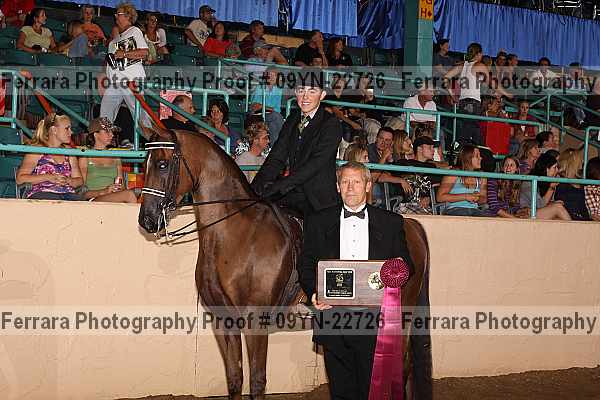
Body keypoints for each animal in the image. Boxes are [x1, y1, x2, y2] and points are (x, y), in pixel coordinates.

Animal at [138, 128, 430, 400]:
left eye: (162, 164)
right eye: (145, 164)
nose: (147, 220)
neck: (236, 234)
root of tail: (410, 225)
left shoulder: (254, 321)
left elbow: (257, 382)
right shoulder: (224, 321)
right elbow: (234, 379)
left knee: (402, 365)